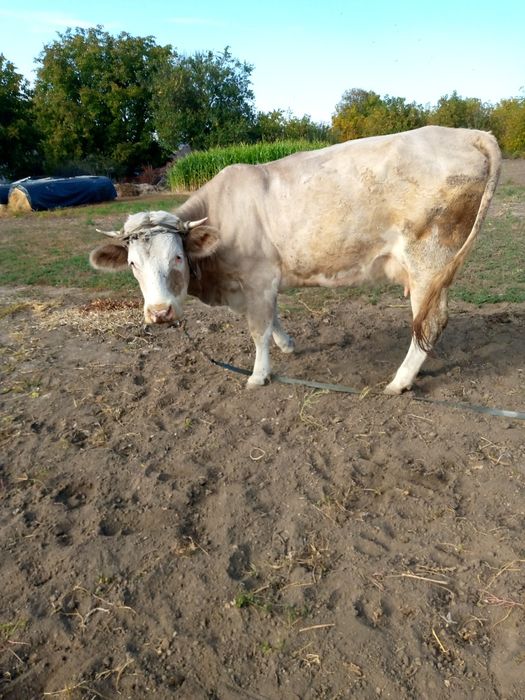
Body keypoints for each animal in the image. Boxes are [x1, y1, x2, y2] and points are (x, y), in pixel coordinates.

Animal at [90, 126, 501, 393]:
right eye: (132, 265)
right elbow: (272, 318)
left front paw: (258, 375)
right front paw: (286, 345)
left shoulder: (256, 279)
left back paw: (399, 382)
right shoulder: (260, 282)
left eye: (177, 257)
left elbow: (258, 329)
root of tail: (467, 132)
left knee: (429, 322)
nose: (159, 313)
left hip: (428, 259)